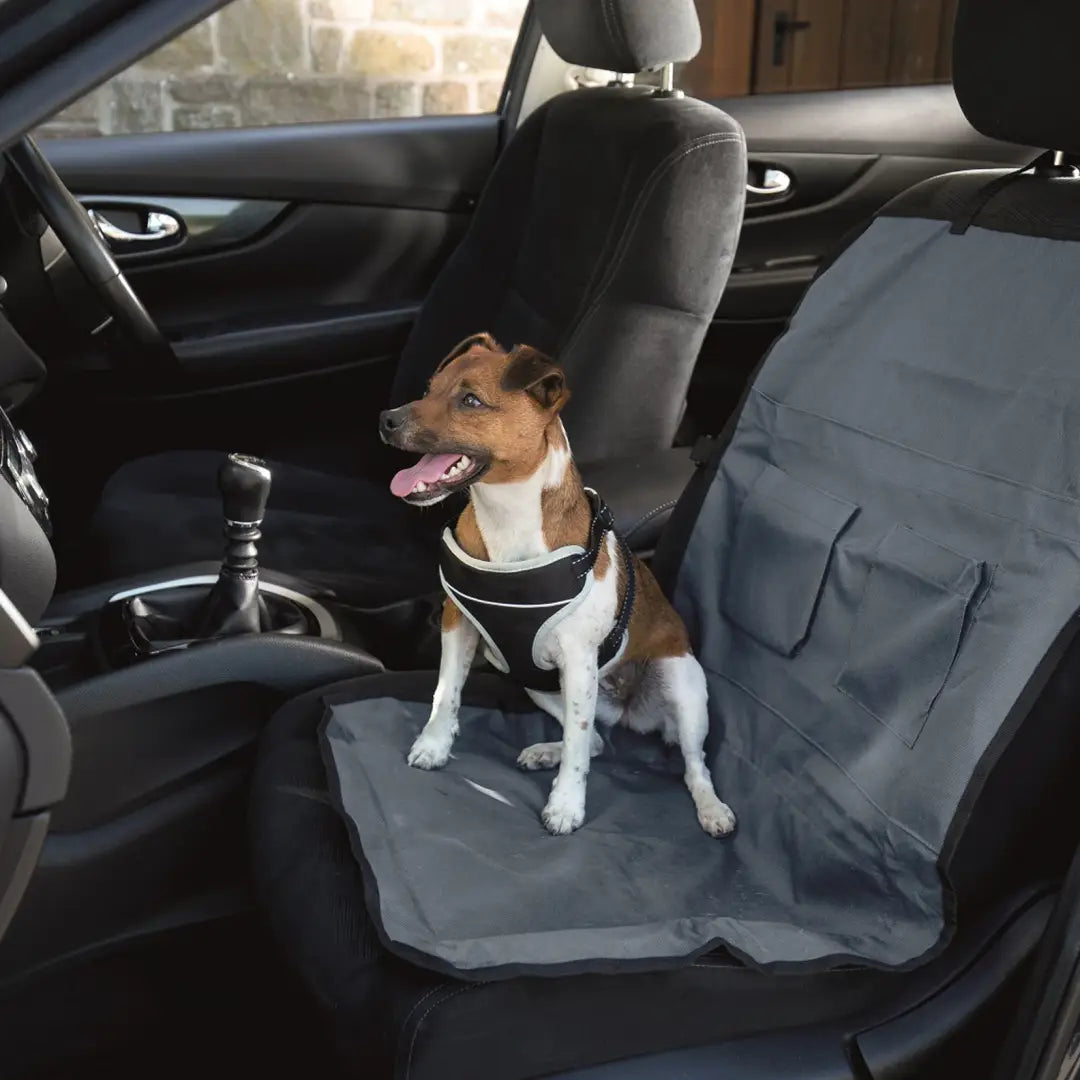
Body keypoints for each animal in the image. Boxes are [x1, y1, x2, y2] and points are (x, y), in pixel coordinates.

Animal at [378, 332, 734, 838]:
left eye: (470, 401)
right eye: (428, 389)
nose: (387, 419)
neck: (505, 515)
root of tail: (627, 708)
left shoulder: (578, 660)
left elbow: (580, 748)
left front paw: (566, 806)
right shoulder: (456, 625)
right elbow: (446, 692)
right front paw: (434, 746)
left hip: (682, 686)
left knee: (690, 764)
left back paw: (712, 808)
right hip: (540, 686)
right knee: (595, 741)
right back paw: (546, 751)